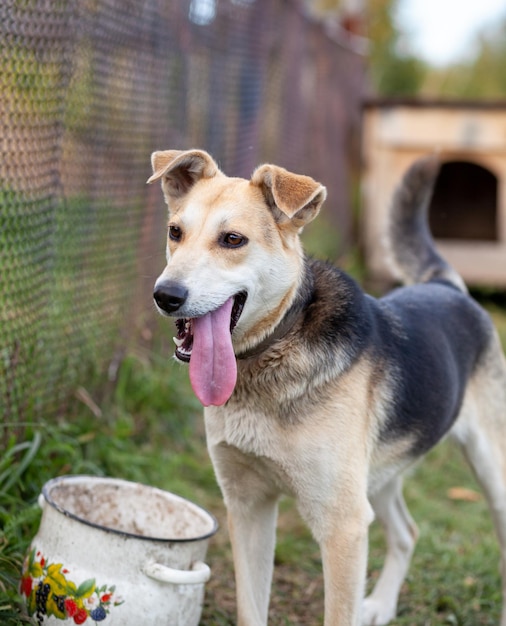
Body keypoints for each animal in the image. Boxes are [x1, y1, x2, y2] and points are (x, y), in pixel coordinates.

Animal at [148, 151, 506, 624]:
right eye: (175, 232)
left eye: (232, 239)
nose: (165, 295)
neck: (277, 346)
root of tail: (446, 287)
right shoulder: (249, 507)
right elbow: (251, 608)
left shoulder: (342, 528)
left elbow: (337, 611)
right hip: (377, 475)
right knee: (407, 532)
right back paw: (381, 605)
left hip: (489, 473)